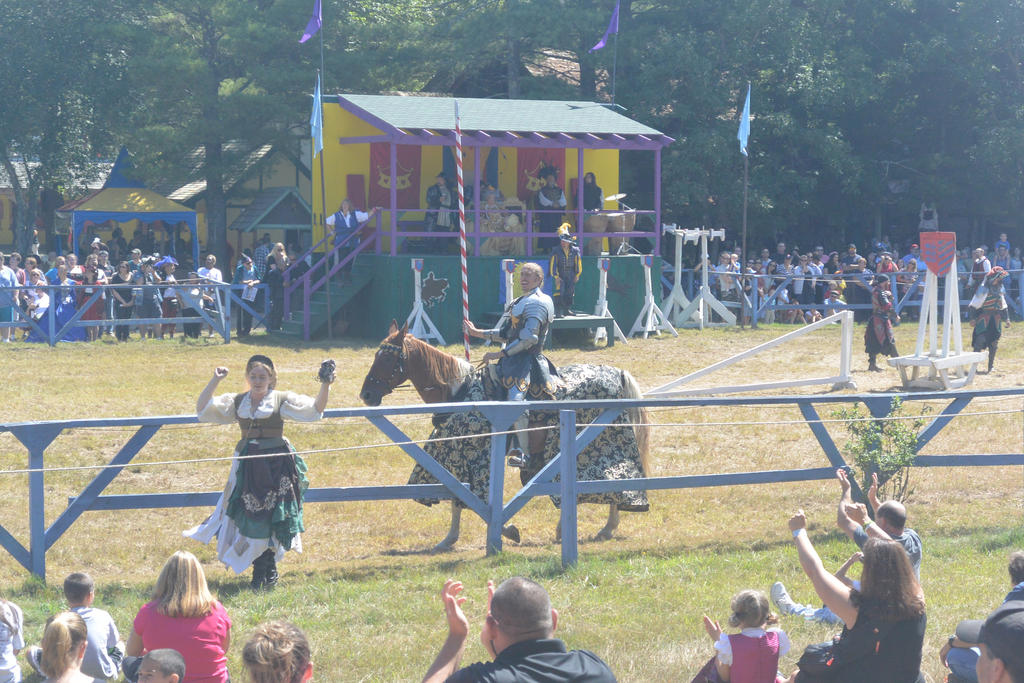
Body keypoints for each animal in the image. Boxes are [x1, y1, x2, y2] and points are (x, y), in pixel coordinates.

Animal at [360, 323, 647, 552]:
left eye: (386, 358)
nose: (366, 395)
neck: (459, 391)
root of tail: (616, 374)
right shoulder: (454, 458)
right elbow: (457, 496)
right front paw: (449, 539)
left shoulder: (475, 457)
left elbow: (471, 498)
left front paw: (506, 530)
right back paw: (596, 528)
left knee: (614, 481)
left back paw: (600, 527)